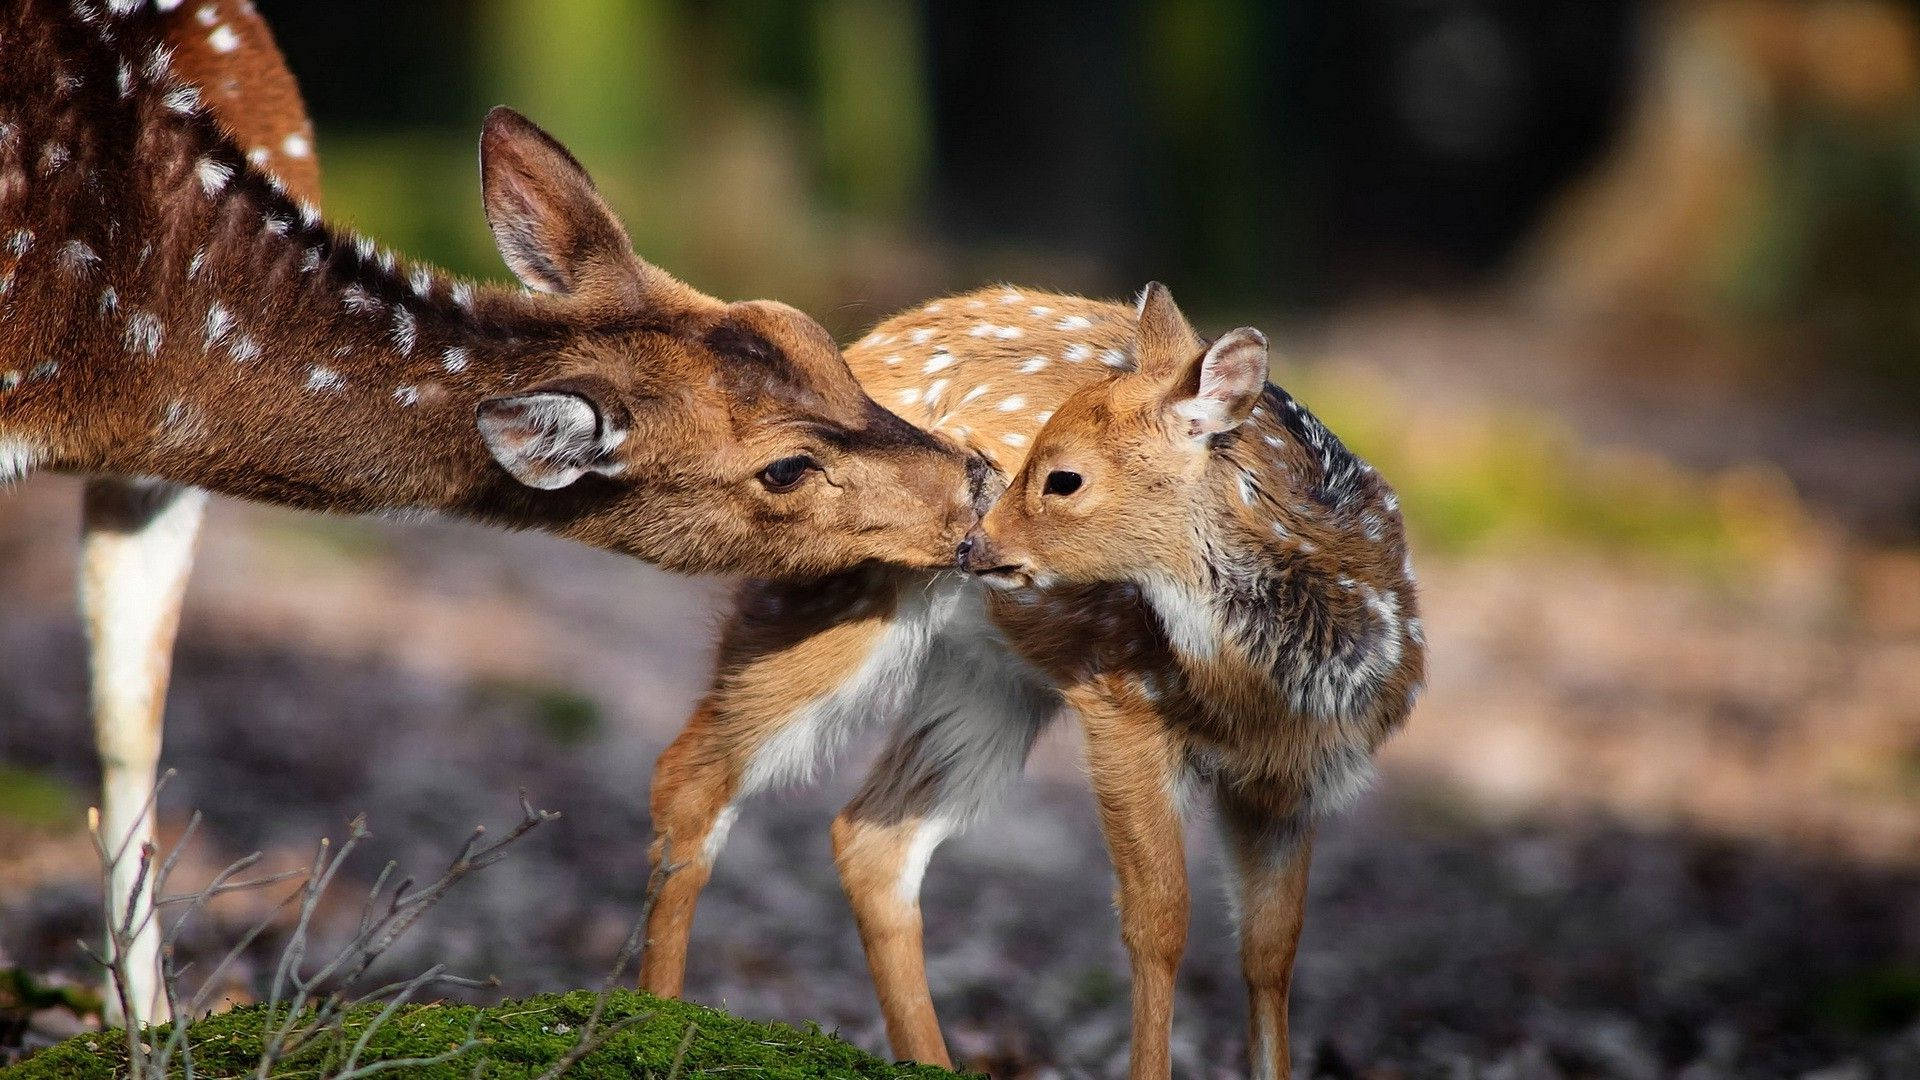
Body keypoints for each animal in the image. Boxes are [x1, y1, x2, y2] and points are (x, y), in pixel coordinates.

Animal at [1, 0, 986, 1027]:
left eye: (813, 336)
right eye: (786, 468)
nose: (978, 475)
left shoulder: (156, 466)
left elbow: (128, 720)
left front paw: (148, 1028)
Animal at [639, 282, 1425, 1079]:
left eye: (1063, 478)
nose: (972, 540)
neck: (1267, 689)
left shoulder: (1294, 783)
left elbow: (1272, 952)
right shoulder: (1123, 701)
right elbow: (1159, 923)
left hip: (989, 680)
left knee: (872, 838)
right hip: (827, 599)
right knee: (689, 776)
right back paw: (655, 1017)